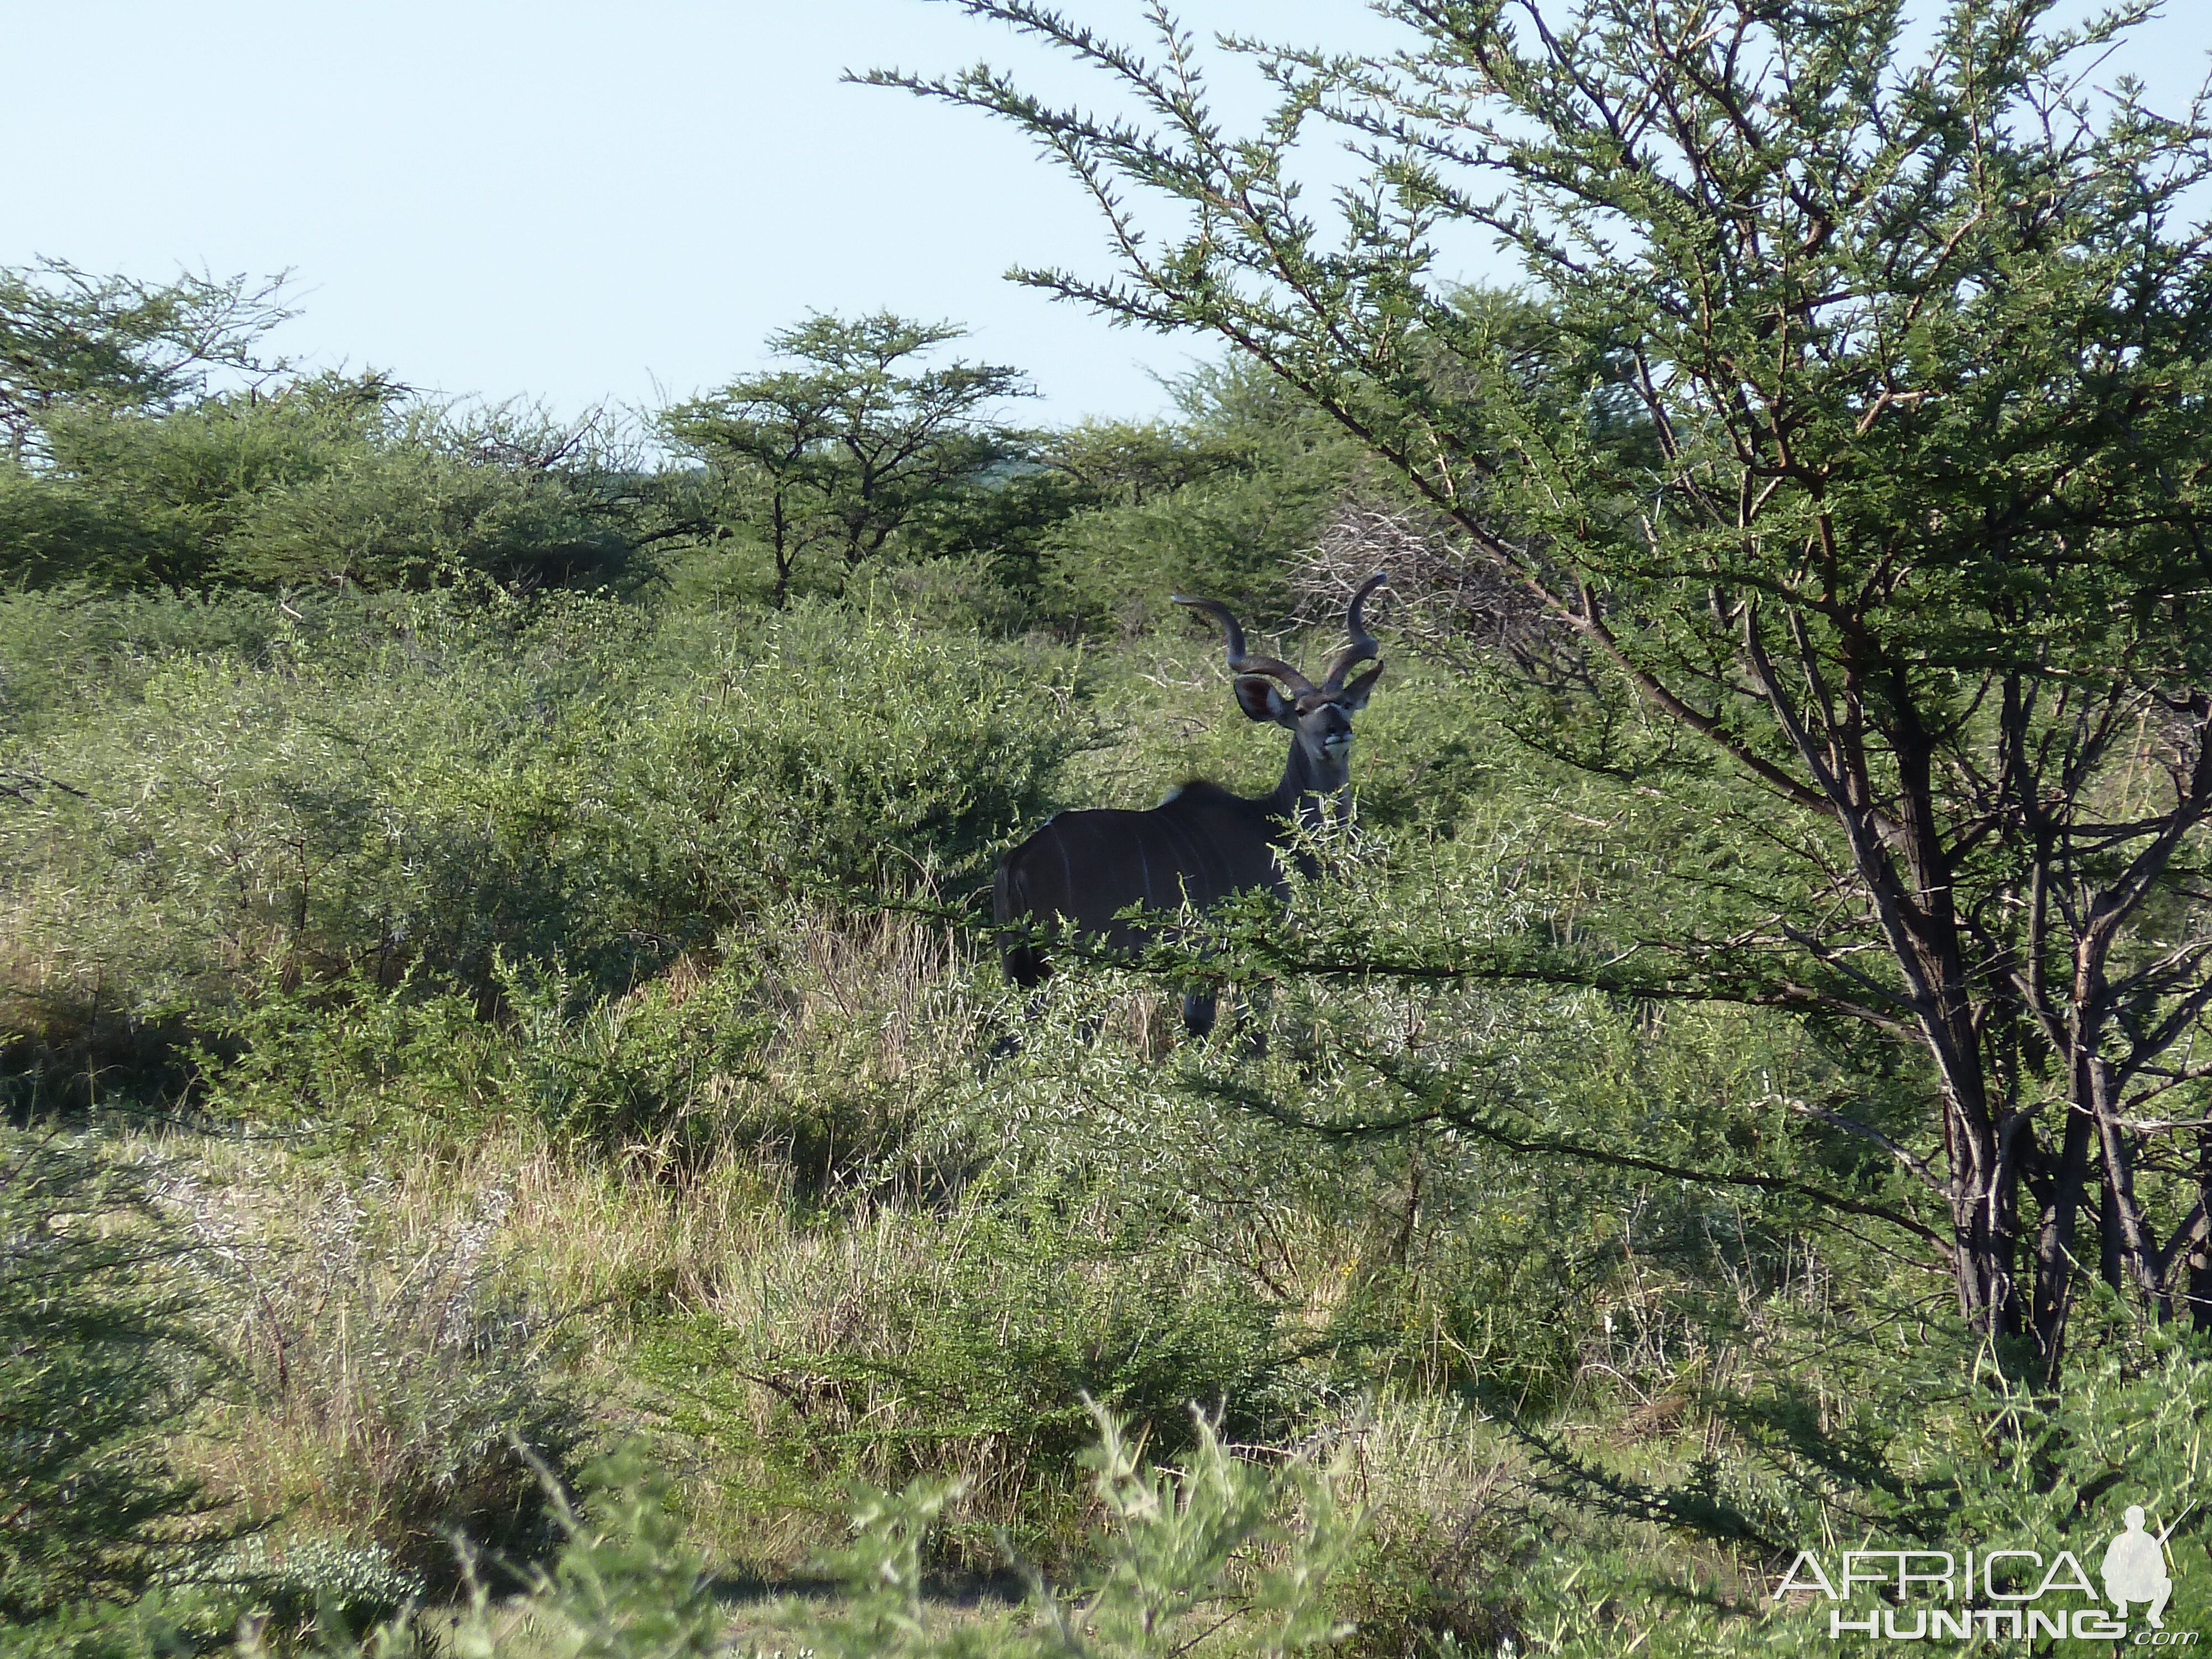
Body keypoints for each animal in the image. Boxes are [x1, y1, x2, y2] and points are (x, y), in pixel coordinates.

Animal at [1000, 575, 1380, 1040]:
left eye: (1343, 703)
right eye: (1302, 710)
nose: (1337, 731)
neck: (1270, 826)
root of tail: (1019, 859)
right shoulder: (1241, 956)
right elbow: (1247, 1035)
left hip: (1021, 968)